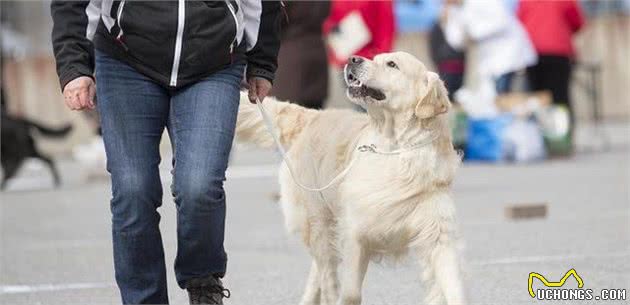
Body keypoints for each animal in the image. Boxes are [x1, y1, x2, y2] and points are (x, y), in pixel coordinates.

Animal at [235, 51, 466, 302]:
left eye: (392, 64)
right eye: (376, 57)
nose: (353, 59)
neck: (394, 149)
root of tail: (313, 116)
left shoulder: (438, 235)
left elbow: (454, 287)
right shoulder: (356, 232)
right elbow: (351, 291)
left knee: (319, 269)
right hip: (318, 219)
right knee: (326, 272)